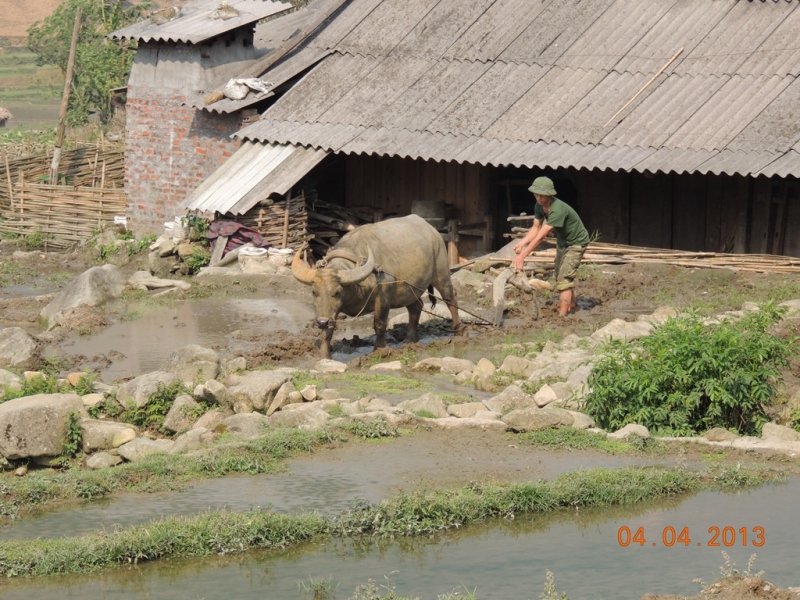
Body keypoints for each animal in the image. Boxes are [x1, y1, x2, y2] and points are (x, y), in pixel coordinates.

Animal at [292, 214, 462, 358]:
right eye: (314, 292)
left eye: (337, 292)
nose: (321, 322)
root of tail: (432, 230)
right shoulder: (329, 312)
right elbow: (328, 330)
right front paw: (325, 355)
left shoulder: (383, 297)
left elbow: (379, 323)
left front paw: (379, 349)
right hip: (411, 288)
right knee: (416, 306)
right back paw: (410, 340)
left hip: (441, 273)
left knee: (450, 300)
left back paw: (458, 333)